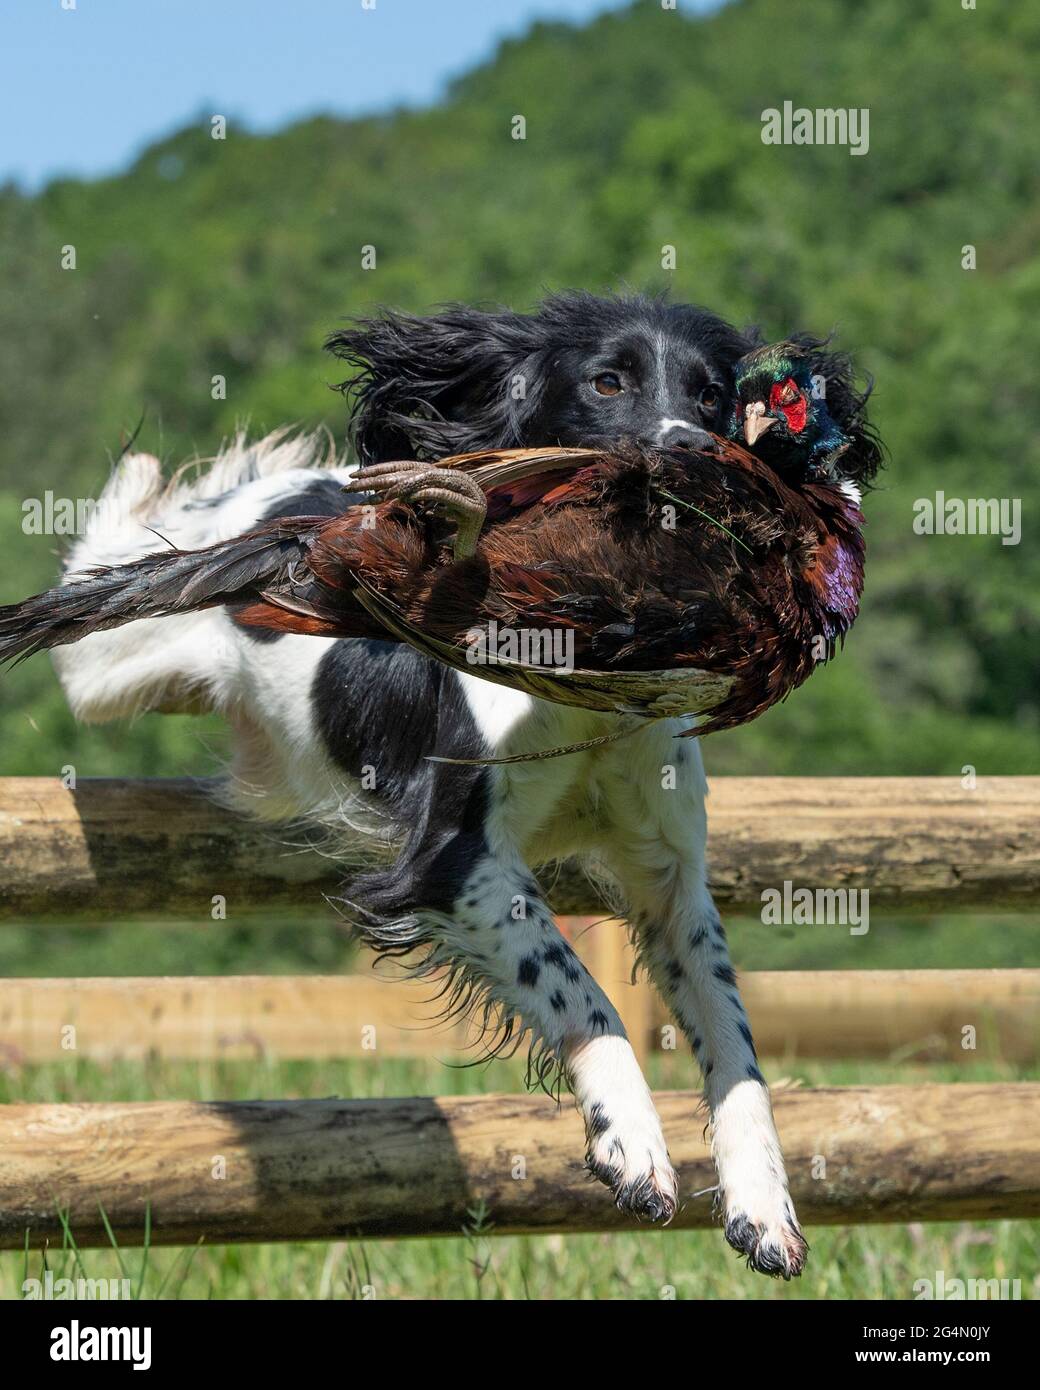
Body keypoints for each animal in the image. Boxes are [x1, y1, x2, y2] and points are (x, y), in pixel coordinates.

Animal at [57, 293, 811, 1278]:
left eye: (713, 393)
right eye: (608, 382)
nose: (688, 454)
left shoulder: (669, 879)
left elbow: (731, 1032)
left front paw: (763, 1206)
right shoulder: (455, 862)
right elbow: (580, 989)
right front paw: (633, 1145)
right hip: (109, 662)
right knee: (94, 573)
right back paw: (141, 484)